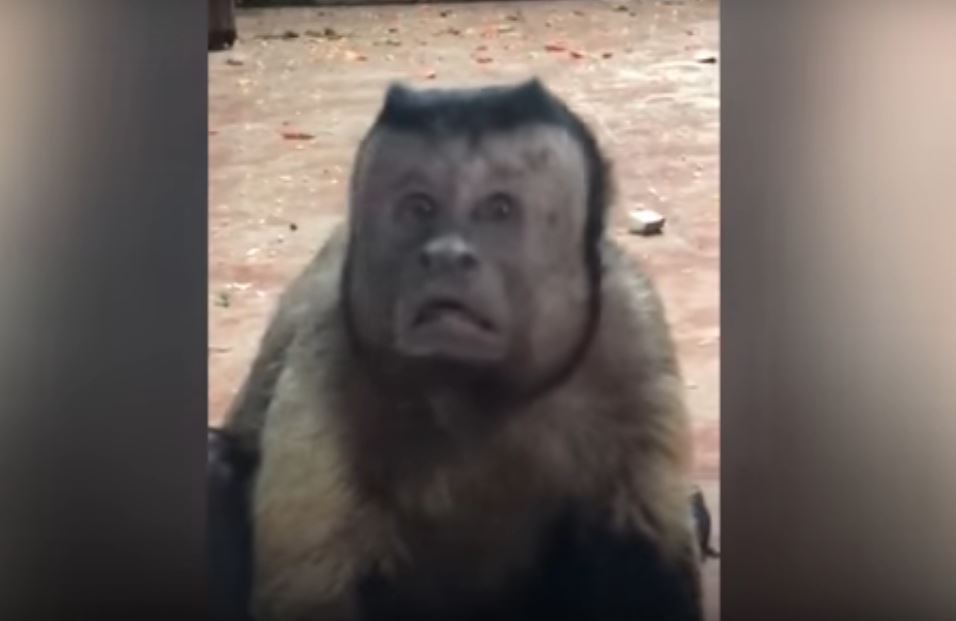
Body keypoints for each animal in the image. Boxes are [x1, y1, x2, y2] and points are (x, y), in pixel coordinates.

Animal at [209, 78, 703, 621]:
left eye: (498, 209)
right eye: (420, 207)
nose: (446, 255)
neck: (473, 394)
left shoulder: (631, 333)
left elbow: (643, 557)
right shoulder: (332, 347)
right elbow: (311, 594)